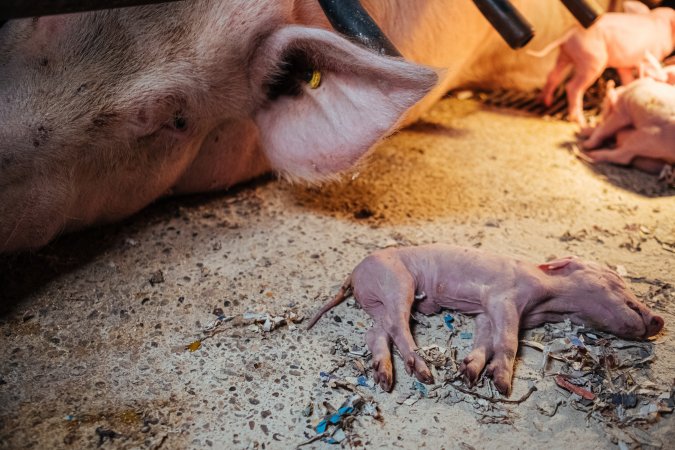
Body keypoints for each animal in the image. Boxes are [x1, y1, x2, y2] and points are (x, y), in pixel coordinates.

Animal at [307, 244, 664, 396]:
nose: (659, 319)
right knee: (398, 326)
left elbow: (486, 341)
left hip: (377, 301)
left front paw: (469, 372)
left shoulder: (484, 314)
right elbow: (507, 341)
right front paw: (502, 385)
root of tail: (354, 273)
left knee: (376, 333)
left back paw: (384, 378)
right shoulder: (503, 299)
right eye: (615, 280)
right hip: (396, 281)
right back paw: (424, 374)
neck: (548, 302)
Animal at [533, 2, 675, 126]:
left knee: (553, 75)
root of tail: (569, 34)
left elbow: (627, 78)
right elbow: (646, 71)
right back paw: (580, 121)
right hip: (592, 61)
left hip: (565, 55)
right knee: (572, 87)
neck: (658, 20)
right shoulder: (651, 54)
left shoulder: (624, 65)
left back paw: (545, 102)